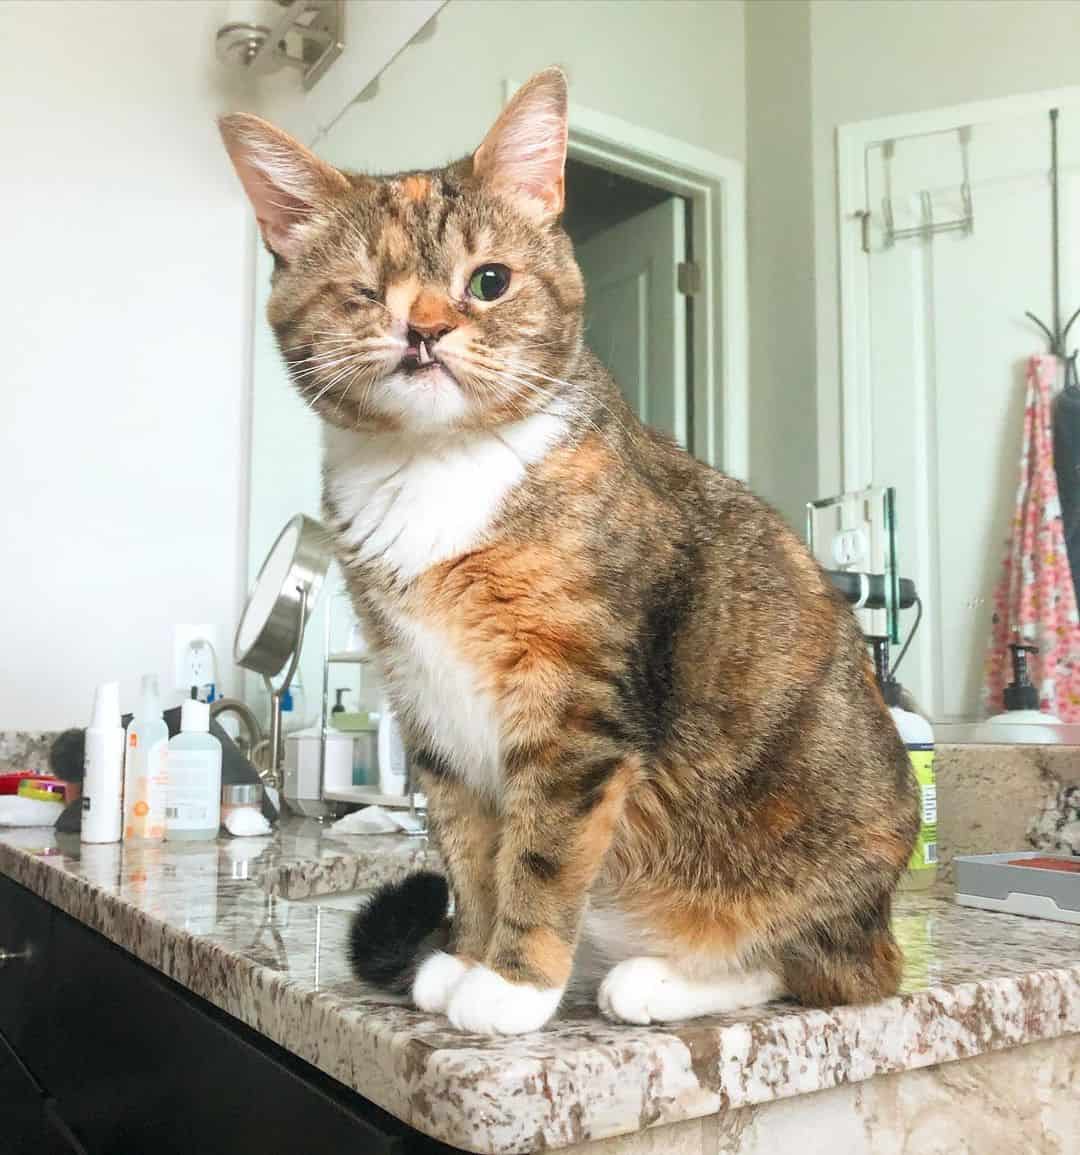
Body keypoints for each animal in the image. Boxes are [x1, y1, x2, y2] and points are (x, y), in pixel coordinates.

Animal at [219, 67, 919, 1034]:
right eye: (364, 292)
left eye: (488, 280)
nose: (424, 329)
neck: (437, 468)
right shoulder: (426, 701)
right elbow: (471, 843)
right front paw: (467, 955)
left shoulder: (573, 704)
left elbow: (542, 850)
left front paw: (514, 984)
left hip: (815, 864)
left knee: (822, 969)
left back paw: (658, 979)